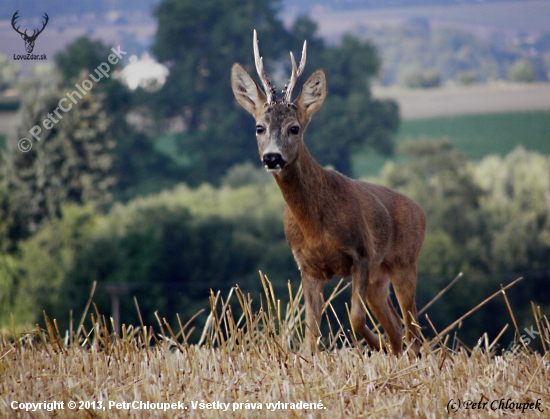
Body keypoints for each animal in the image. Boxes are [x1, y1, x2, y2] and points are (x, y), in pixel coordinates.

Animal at [231, 31, 430, 356]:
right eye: (259, 127)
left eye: (294, 128)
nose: (272, 157)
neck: (315, 228)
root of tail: (421, 210)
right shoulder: (307, 266)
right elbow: (310, 335)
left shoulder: (361, 254)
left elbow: (355, 318)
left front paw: (373, 346)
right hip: (379, 279)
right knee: (398, 327)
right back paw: (393, 351)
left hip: (404, 261)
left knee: (412, 329)